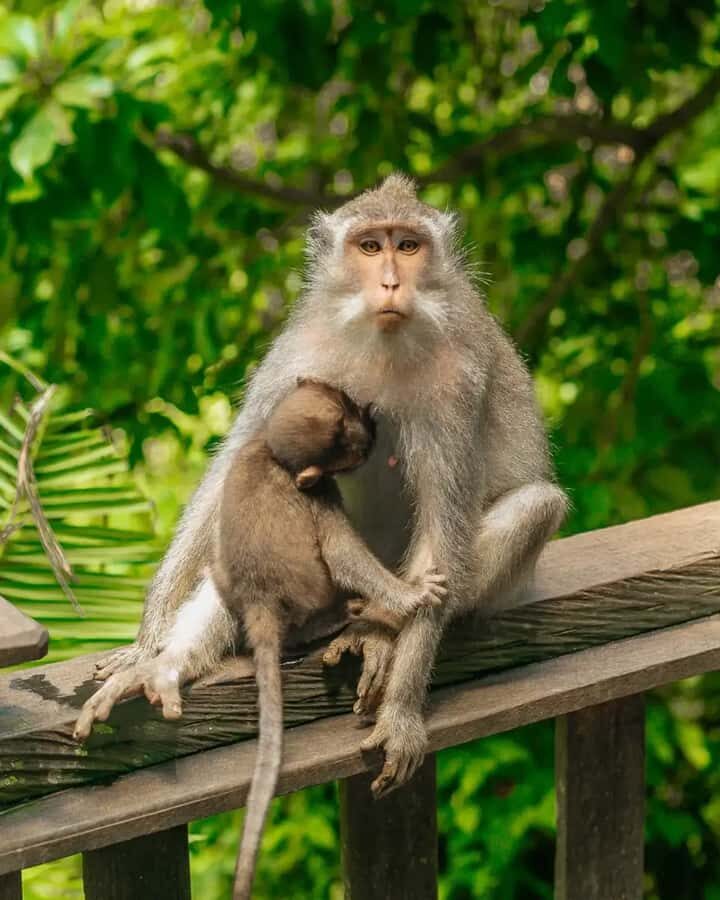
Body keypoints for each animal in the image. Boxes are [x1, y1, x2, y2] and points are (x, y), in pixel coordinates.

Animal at [75, 173, 568, 799]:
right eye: (369, 246)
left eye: (409, 246)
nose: (390, 281)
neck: (382, 342)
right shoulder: (295, 357)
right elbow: (233, 473)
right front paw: (147, 643)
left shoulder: (458, 386)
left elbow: (444, 532)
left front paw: (402, 712)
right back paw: (168, 666)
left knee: (536, 506)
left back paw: (377, 632)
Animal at [212, 379, 445, 900]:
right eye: (352, 446)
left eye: (347, 402)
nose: (371, 418)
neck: (273, 453)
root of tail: (258, 603)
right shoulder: (321, 491)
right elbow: (341, 553)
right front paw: (411, 596)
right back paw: (338, 617)